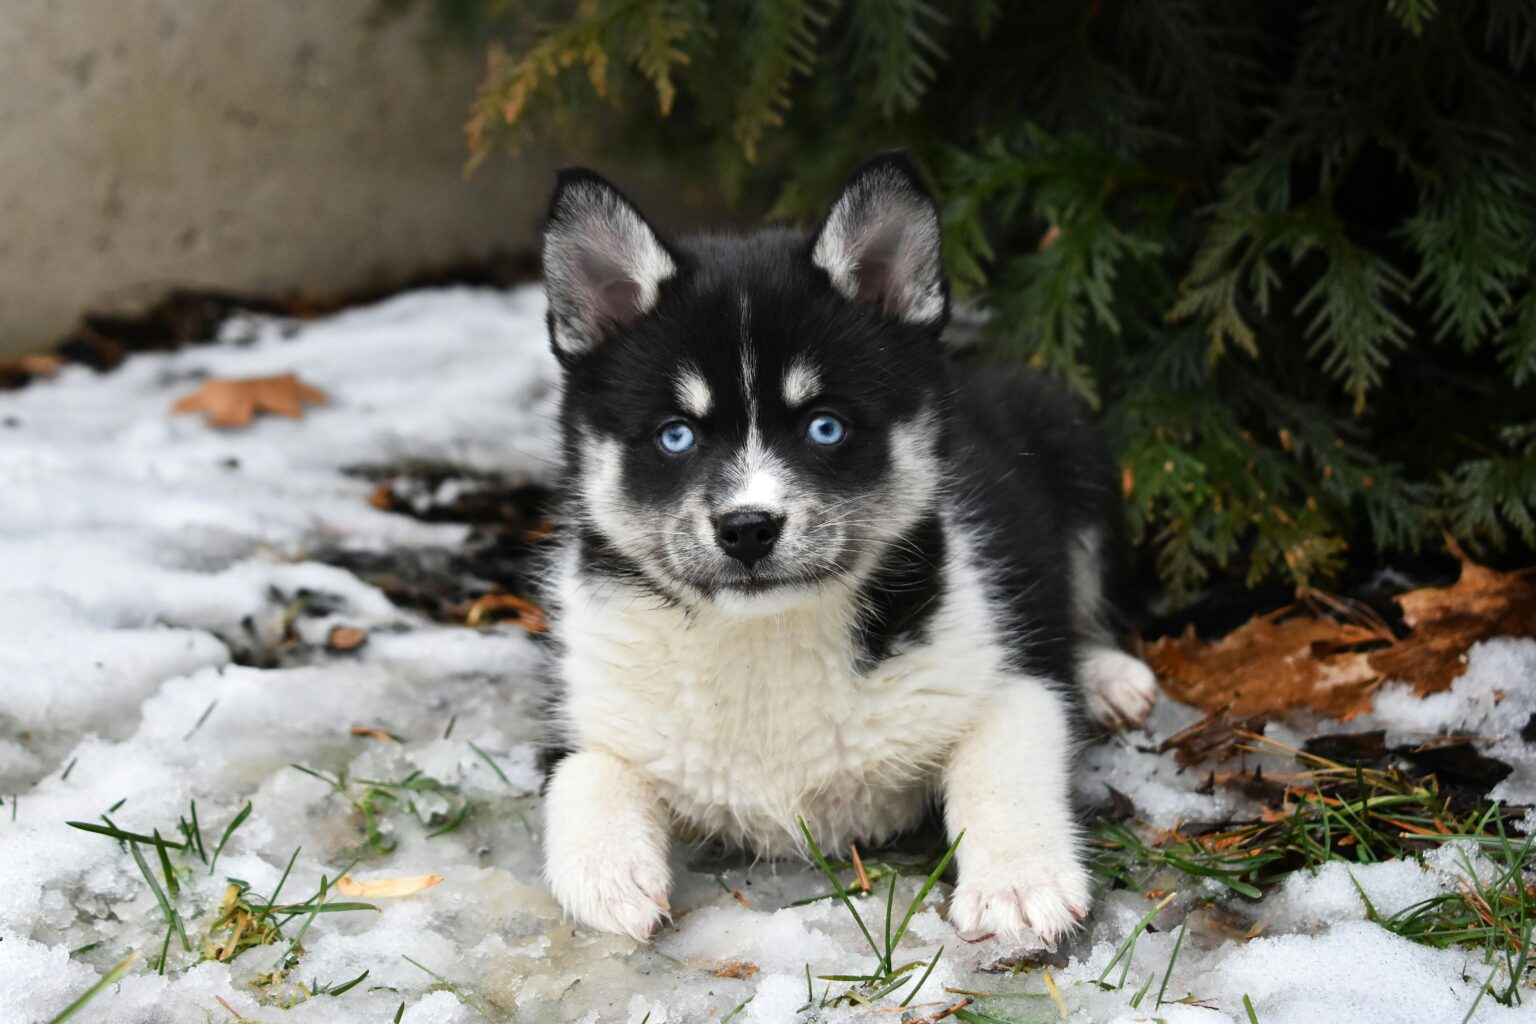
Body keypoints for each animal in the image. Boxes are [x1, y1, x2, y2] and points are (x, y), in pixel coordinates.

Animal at [537, 156, 1155, 951]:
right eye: (676, 435)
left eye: (825, 426)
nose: (747, 528)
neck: (764, 637)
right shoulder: (584, 710)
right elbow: (583, 775)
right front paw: (607, 877)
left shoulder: (1009, 673)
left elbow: (1001, 768)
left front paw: (1019, 885)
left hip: (1074, 444)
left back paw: (1107, 677)